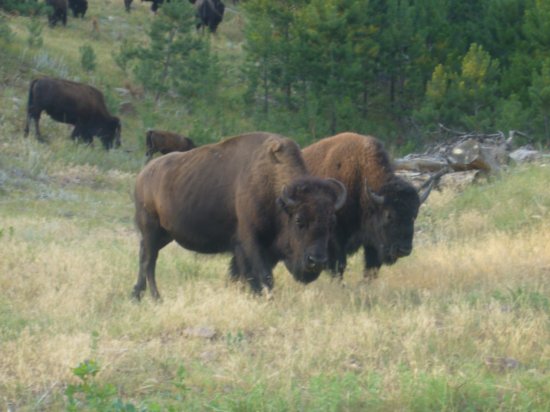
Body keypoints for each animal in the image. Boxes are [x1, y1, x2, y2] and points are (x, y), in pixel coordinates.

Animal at [134, 132, 348, 300]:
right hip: (151, 229)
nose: (316, 261)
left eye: (332, 223)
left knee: (145, 256)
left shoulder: (258, 248)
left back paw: (137, 294)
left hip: (164, 234)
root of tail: (143, 175)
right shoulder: (251, 241)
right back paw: (155, 298)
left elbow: (242, 274)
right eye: (299, 220)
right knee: (149, 261)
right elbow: (262, 275)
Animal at [302, 134, 440, 282]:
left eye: (414, 215)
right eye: (389, 215)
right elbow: (339, 266)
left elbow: (371, 269)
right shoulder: (335, 239)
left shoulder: (372, 242)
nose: (403, 250)